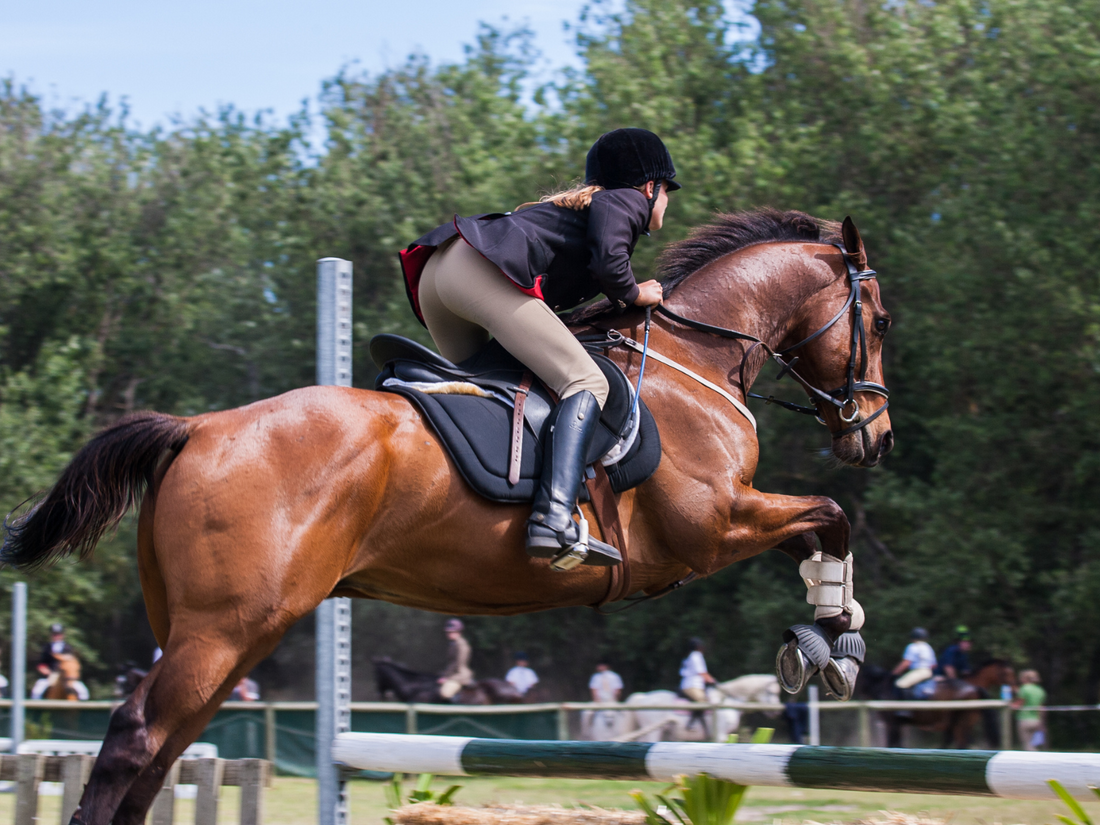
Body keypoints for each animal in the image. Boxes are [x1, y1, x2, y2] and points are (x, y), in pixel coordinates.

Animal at [860, 660, 1015, 748]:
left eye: (1010, 672)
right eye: (1006, 672)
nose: (1014, 690)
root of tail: (973, 688)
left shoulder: (893, 724)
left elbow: (893, 744)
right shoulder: (895, 725)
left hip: (961, 725)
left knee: (962, 745)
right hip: (962, 725)